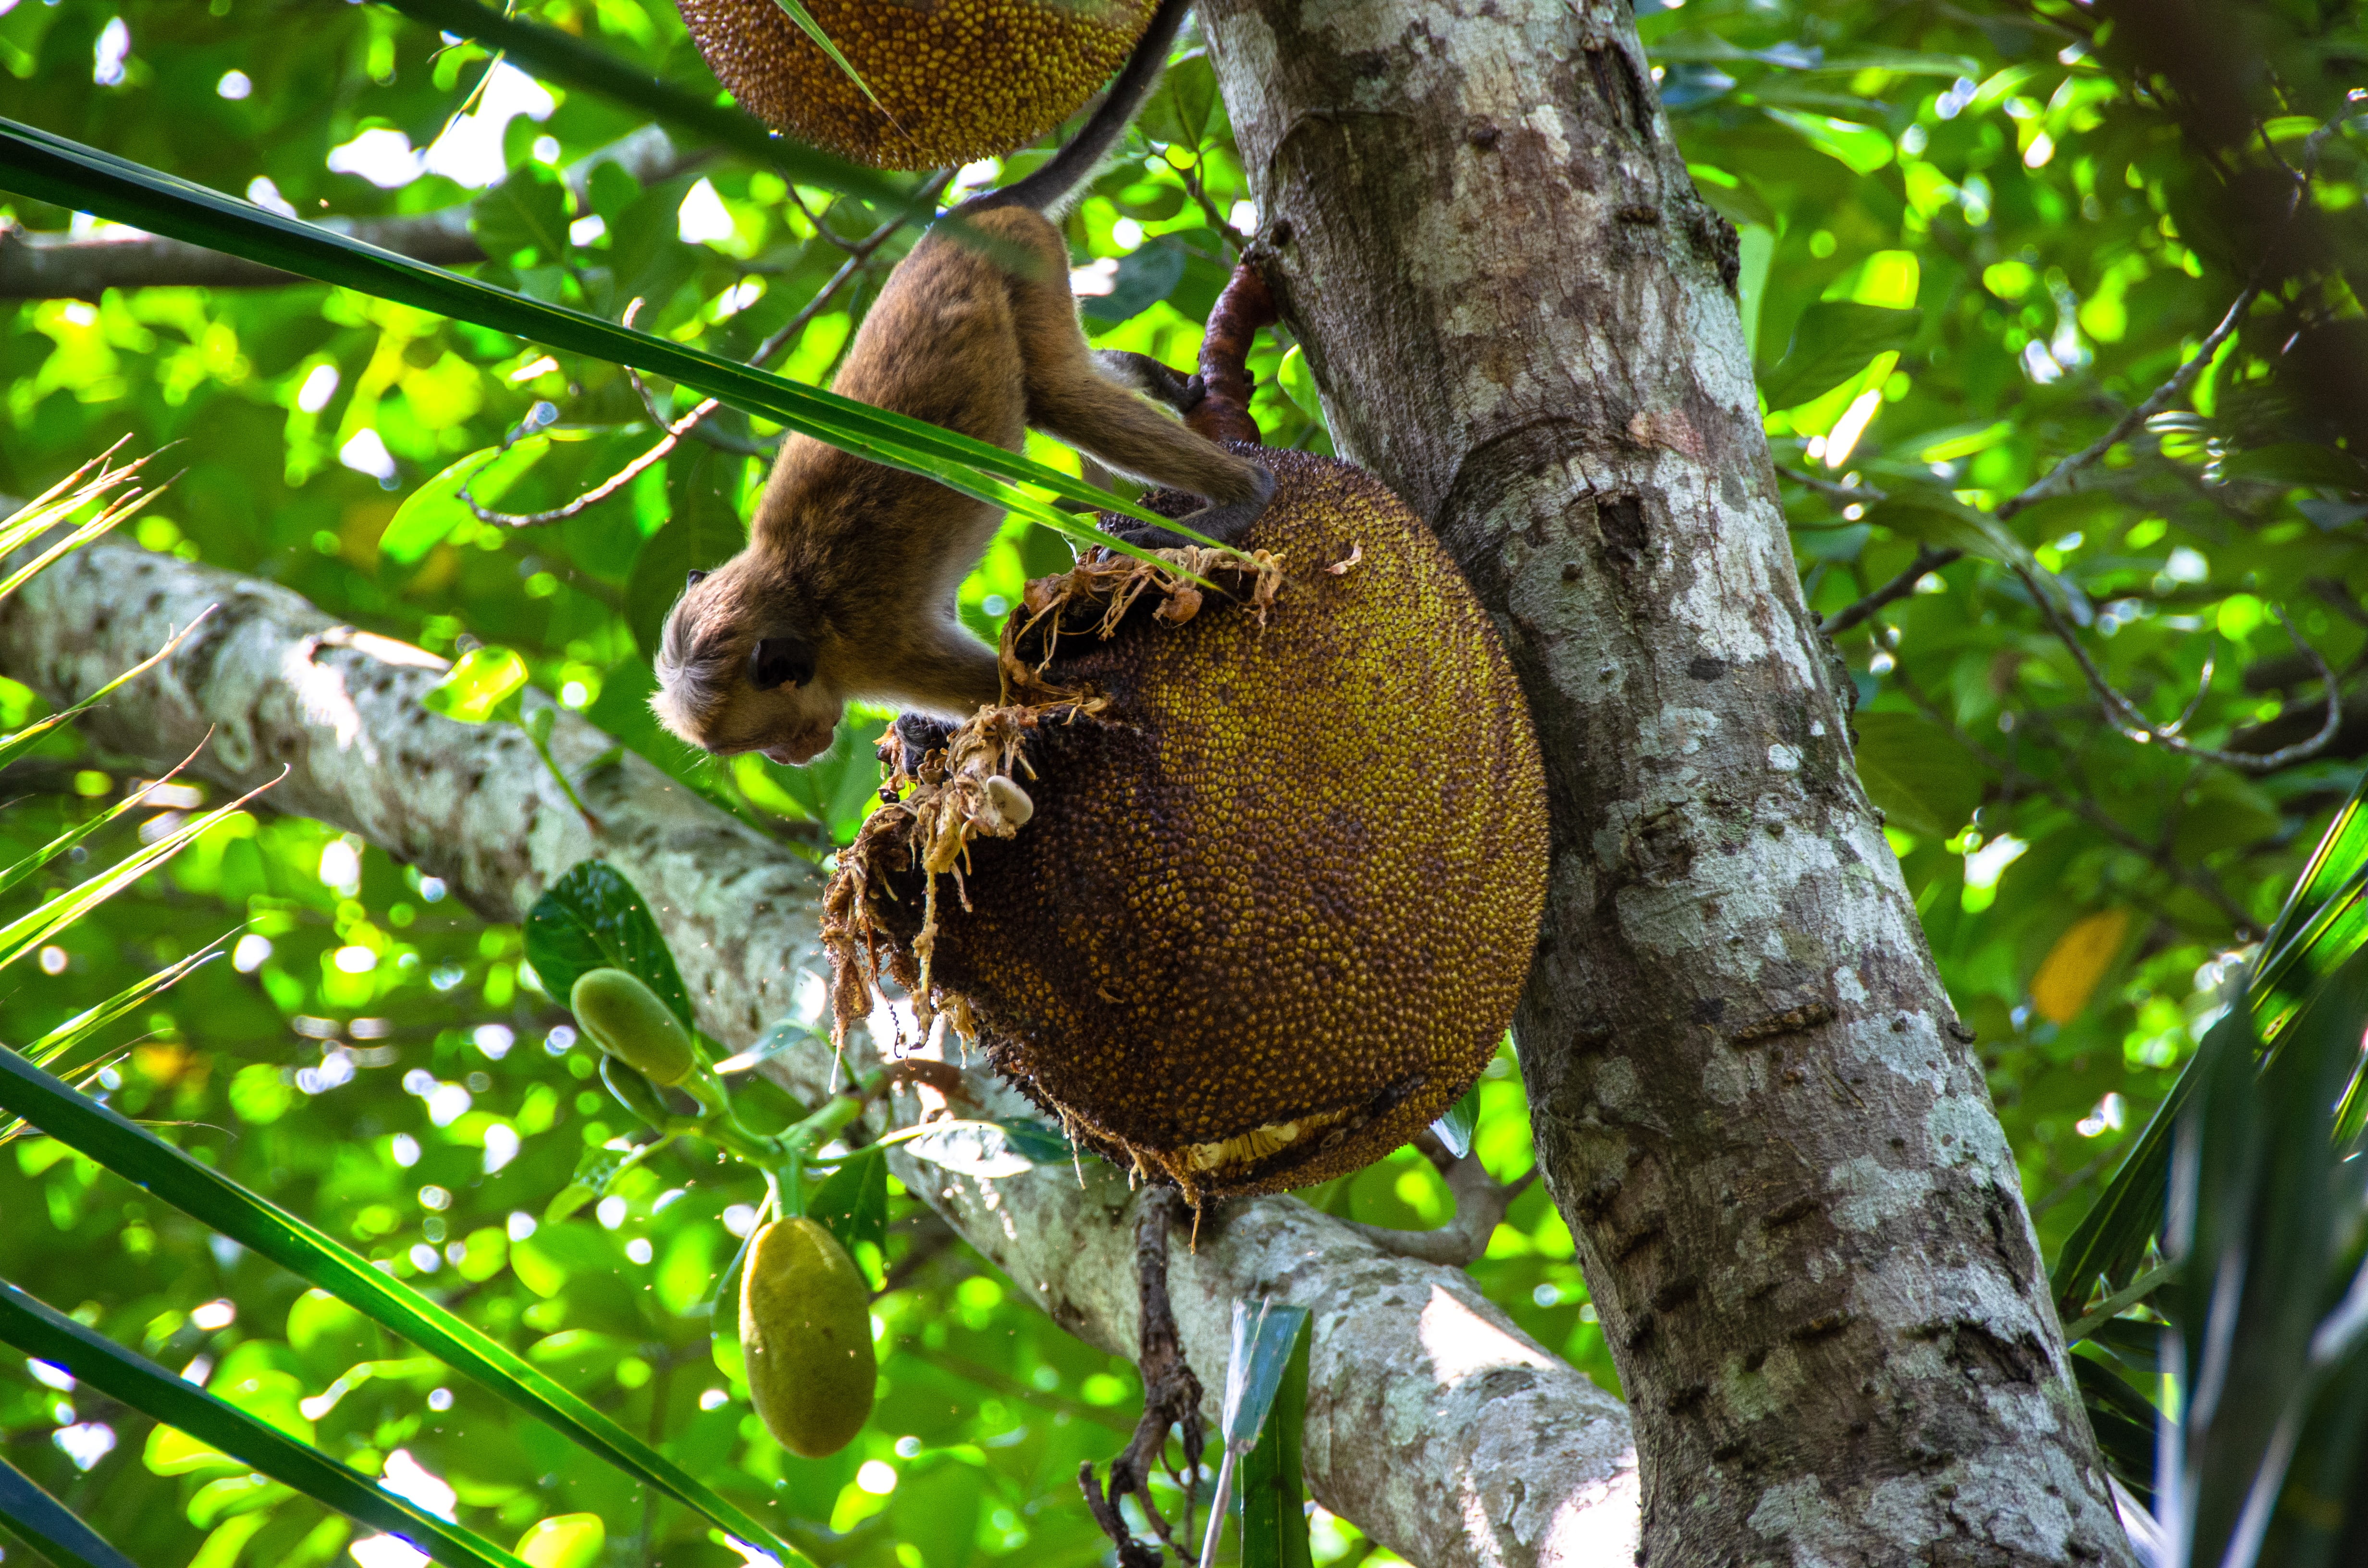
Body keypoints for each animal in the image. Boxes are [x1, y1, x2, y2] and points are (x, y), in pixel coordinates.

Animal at [650, 0, 1273, 768]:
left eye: (769, 738)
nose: (791, 757)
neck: (796, 598)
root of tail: (966, 214)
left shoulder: (880, 650)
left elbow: (1021, 693)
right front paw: (918, 739)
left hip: (1024, 254)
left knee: (1061, 391)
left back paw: (1240, 499)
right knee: (1055, 380)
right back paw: (1164, 384)